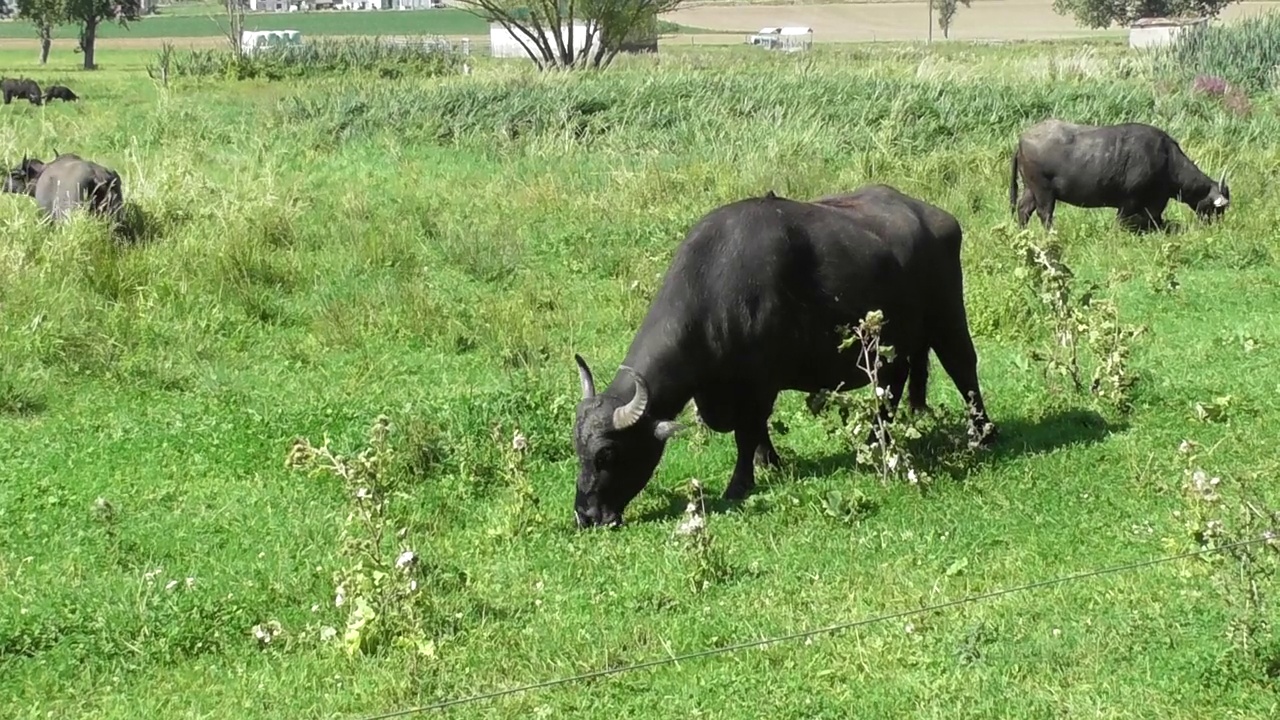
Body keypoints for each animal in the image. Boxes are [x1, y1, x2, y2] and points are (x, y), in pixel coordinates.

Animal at [570, 181, 998, 527]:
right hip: (895, 344)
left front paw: (739, 484)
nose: (586, 515)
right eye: (578, 450)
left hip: (947, 317)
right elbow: (758, 433)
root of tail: (937, 217)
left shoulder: (760, 384)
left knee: (964, 368)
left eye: (607, 454)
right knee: (892, 388)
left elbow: (747, 432)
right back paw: (878, 443)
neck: (716, 290)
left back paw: (982, 434)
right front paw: (769, 462)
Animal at [1008, 119, 1228, 233]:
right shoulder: (1131, 201)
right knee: (1045, 213)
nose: (1217, 226)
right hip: (1043, 190)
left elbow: (1156, 219)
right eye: (1218, 209)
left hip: (1030, 189)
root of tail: (1022, 139)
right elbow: (1125, 221)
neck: (1166, 160)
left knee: (1023, 209)